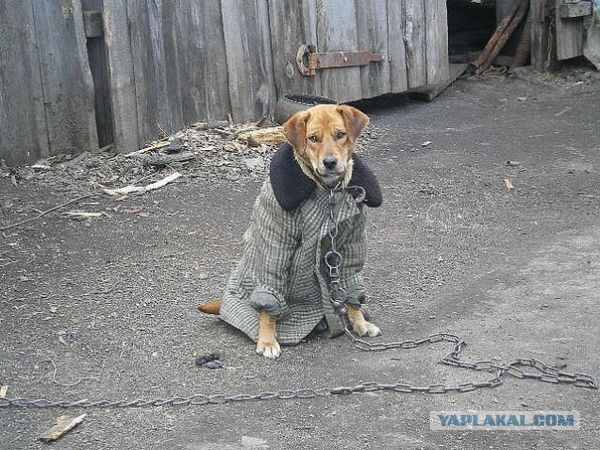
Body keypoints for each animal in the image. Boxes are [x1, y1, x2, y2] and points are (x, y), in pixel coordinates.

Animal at [199, 104, 382, 358]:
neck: (328, 192)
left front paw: (359, 322)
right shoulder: (277, 244)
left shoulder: (350, 245)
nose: (330, 162)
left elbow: (349, 282)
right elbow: (270, 295)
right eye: (313, 138)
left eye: (340, 134)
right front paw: (267, 339)